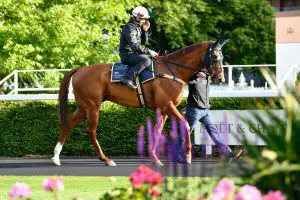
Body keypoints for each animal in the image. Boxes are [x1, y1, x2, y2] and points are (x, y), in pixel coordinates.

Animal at [52, 39, 227, 166]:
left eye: (222, 57)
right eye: (215, 57)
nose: (220, 79)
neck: (172, 70)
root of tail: (80, 69)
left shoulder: (163, 109)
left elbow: (157, 131)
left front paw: (155, 158)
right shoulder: (167, 105)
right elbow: (185, 125)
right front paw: (188, 155)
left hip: (84, 106)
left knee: (68, 125)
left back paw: (56, 157)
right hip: (93, 106)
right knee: (91, 131)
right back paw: (106, 159)